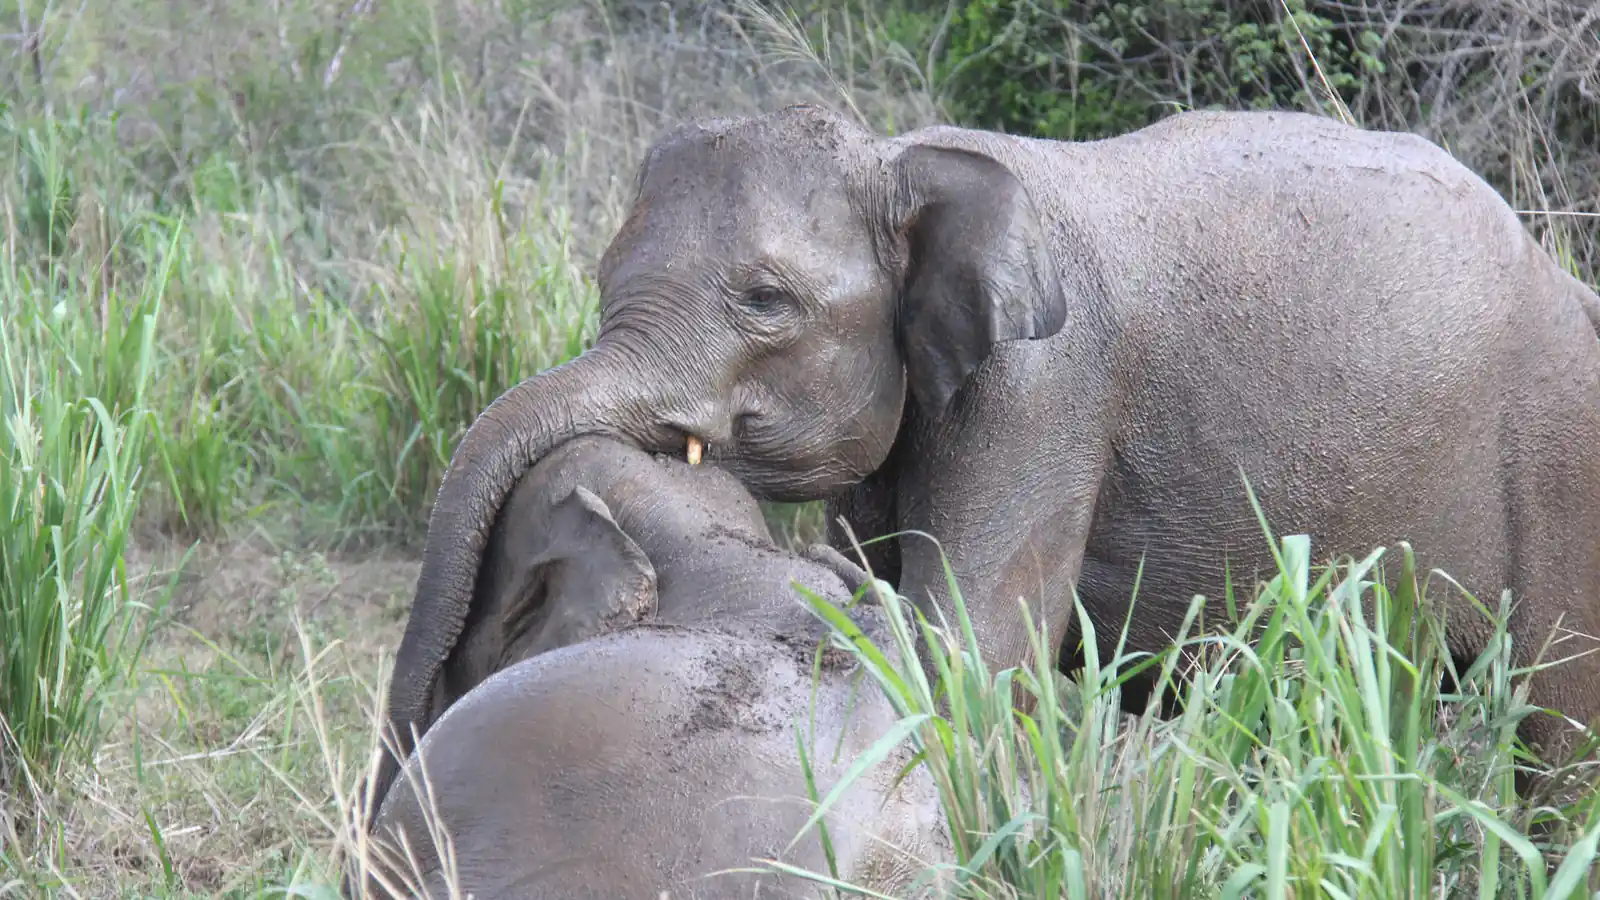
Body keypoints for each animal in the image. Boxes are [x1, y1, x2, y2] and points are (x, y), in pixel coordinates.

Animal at [374, 101, 1600, 811]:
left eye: (766, 302)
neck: (906, 158)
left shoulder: (1045, 389)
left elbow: (969, 647)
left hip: (1562, 450)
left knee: (1563, 726)